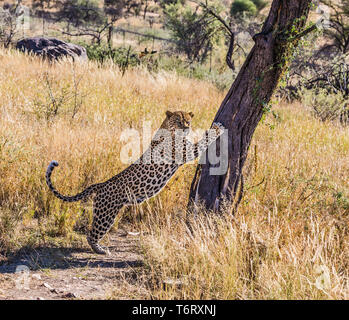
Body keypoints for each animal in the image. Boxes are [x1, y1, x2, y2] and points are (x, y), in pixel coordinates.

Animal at [45, 110, 223, 255]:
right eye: (179, 120)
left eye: (188, 121)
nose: (186, 128)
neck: (167, 129)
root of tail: (101, 184)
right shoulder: (187, 151)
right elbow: (204, 139)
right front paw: (217, 127)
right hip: (106, 214)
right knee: (92, 234)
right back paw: (100, 250)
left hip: (104, 211)